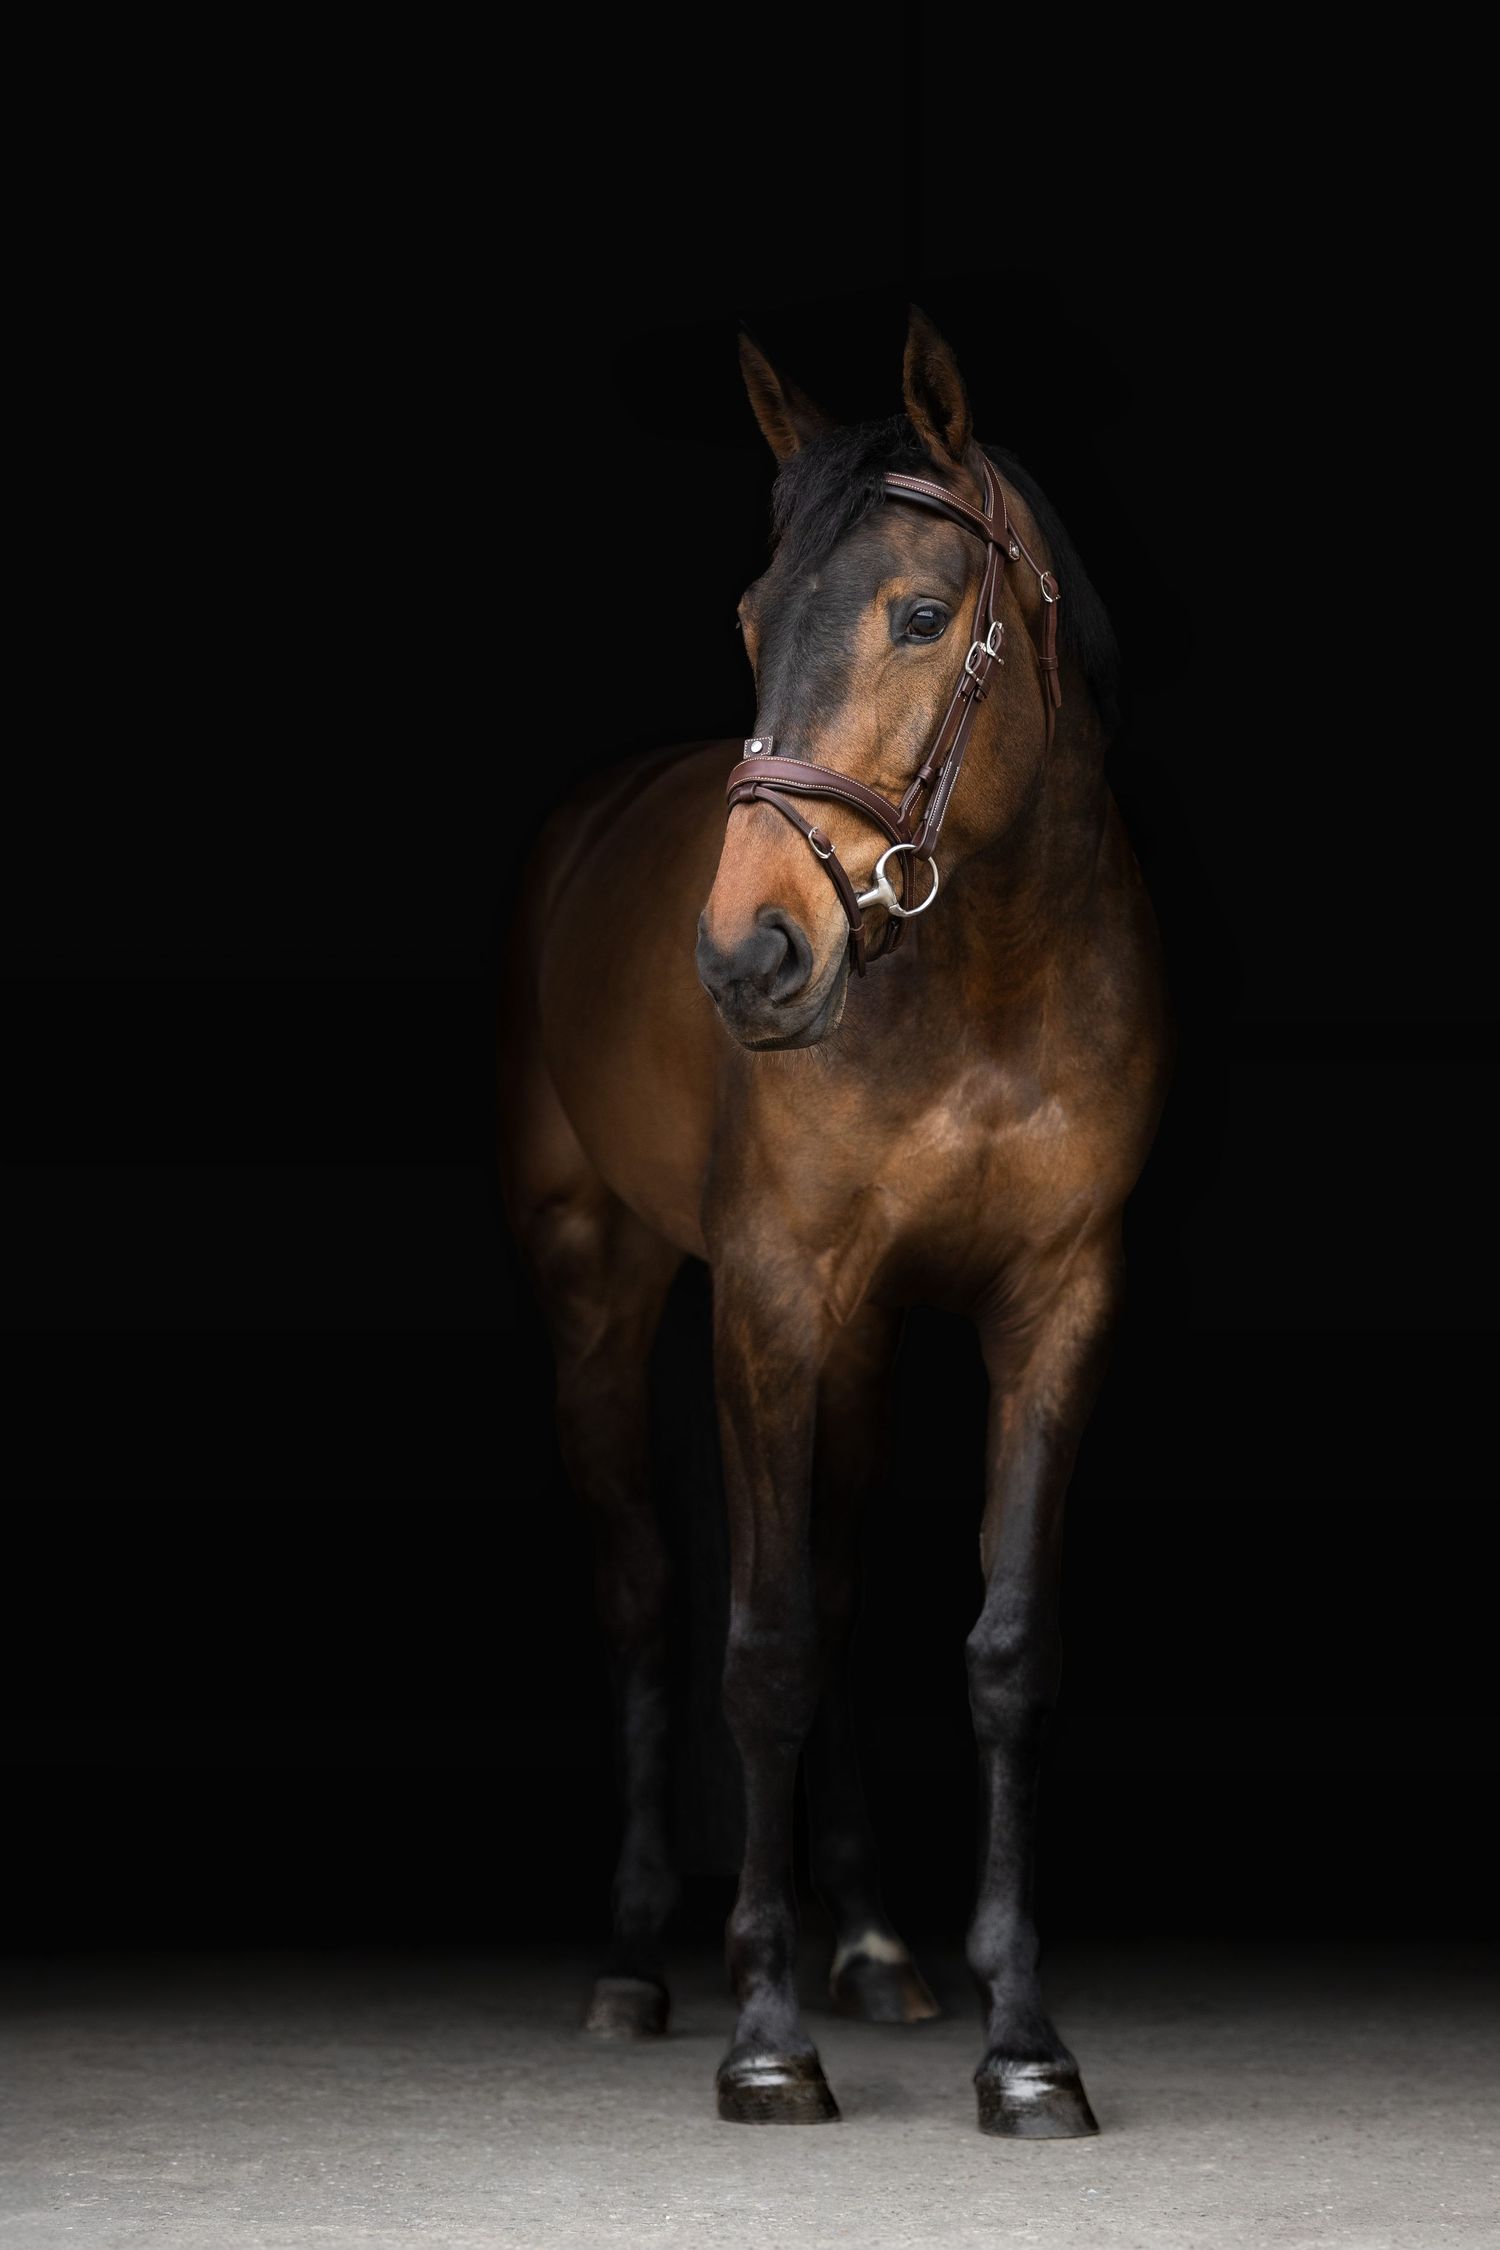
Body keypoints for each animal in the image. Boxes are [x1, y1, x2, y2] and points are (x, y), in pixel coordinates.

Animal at [498, 308, 1169, 2137]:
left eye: (923, 616)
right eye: (747, 618)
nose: (751, 957)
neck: (988, 974)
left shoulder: (1055, 1306)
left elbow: (1003, 1648)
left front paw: (1025, 2045)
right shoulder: (772, 1303)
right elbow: (766, 1644)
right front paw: (763, 2033)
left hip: (864, 1345)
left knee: (851, 1579)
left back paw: (873, 1947)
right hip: (600, 1289)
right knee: (644, 1595)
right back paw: (637, 1964)